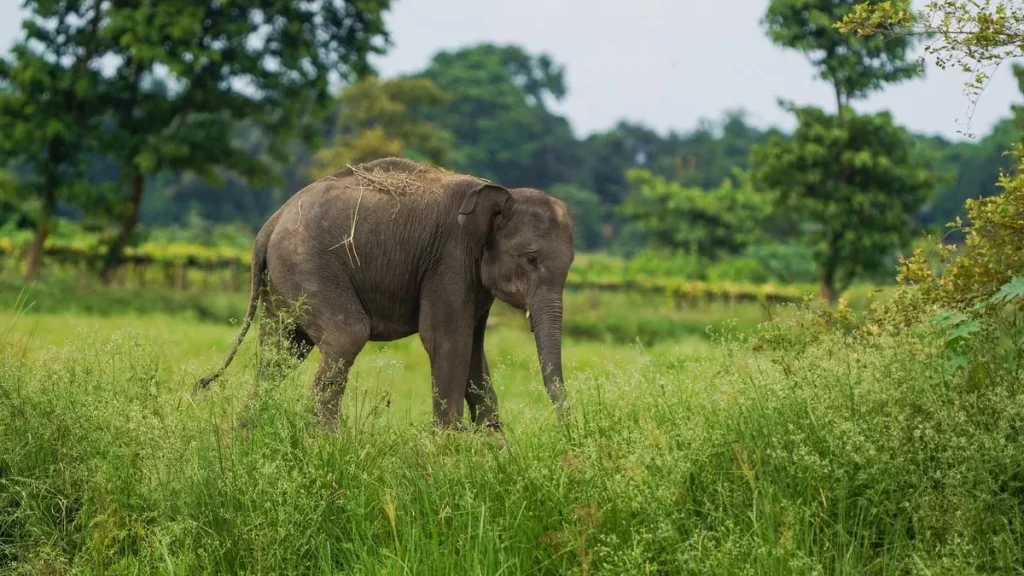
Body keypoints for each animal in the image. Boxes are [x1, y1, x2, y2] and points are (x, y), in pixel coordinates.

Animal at [196, 157, 575, 431]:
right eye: (530, 259)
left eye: (571, 264)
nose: (567, 433)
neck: (495, 191)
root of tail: (269, 226)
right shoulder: (449, 261)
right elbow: (447, 341)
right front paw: (448, 457)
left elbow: (473, 350)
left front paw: (493, 453)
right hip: (306, 266)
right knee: (345, 336)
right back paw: (326, 445)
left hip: (281, 283)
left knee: (280, 353)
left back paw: (247, 437)